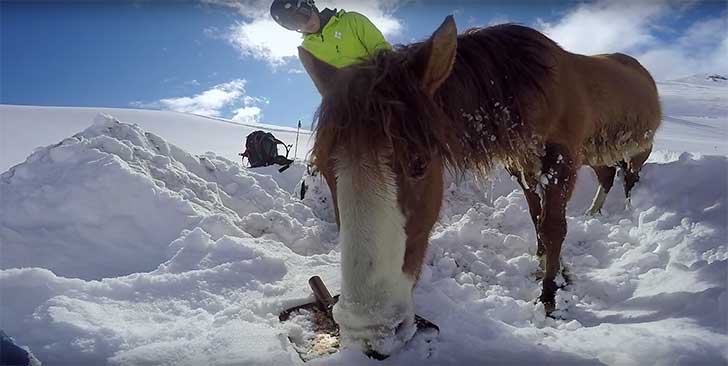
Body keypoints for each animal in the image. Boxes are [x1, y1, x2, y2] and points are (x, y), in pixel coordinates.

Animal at [300, 17, 660, 358]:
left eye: (419, 164)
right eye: (325, 172)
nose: (369, 330)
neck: (527, 86)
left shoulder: (562, 162)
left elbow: (554, 227)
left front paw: (549, 295)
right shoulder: (522, 165)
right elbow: (537, 219)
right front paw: (546, 263)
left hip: (638, 150)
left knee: (629, 180)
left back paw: (627, 213)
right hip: (598, 154)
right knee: (607, 176)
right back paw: (594, 211)